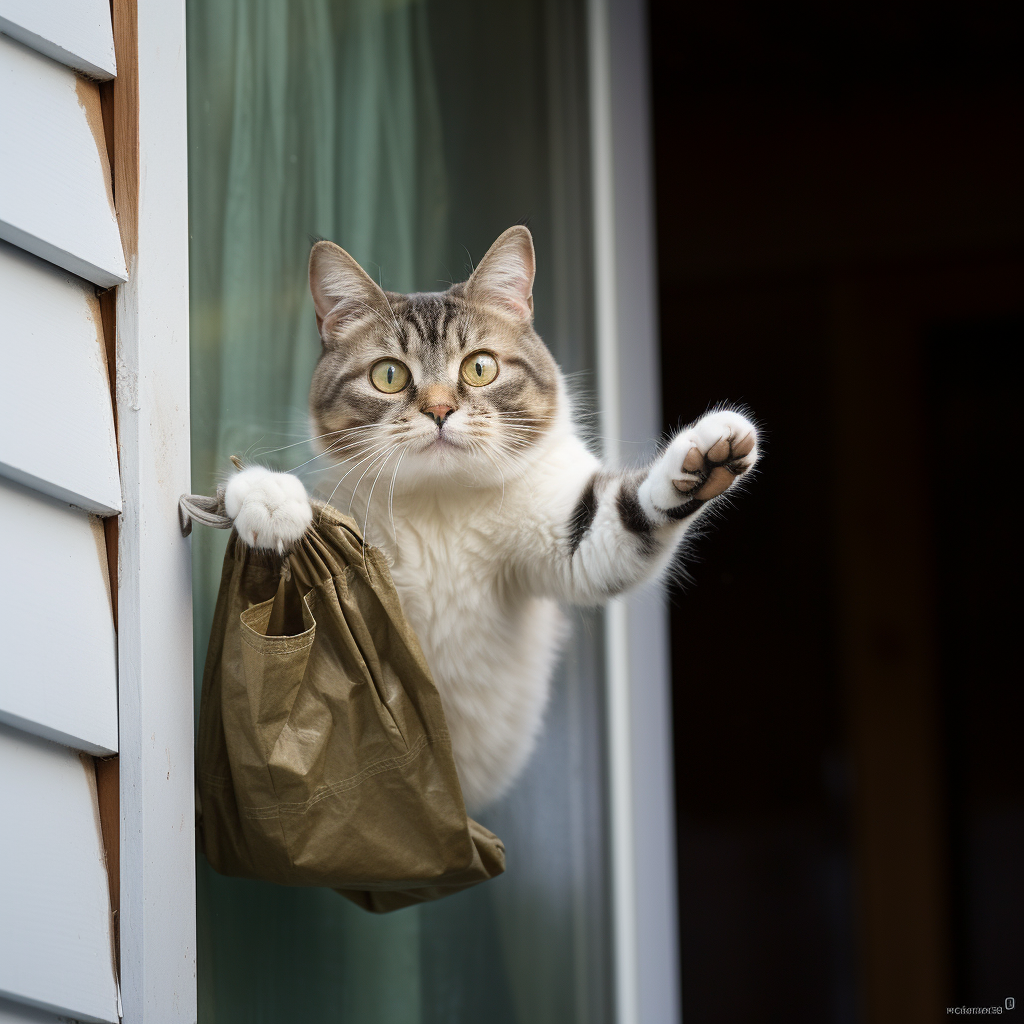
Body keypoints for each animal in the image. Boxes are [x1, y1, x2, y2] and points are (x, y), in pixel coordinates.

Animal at [224, 228, 757, 811]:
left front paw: (706, 456)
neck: (443, 502)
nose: (438, 411)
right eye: (389, 375)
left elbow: (624, 516)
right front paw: (267, 498)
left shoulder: (569, 540)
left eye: (479, 367)